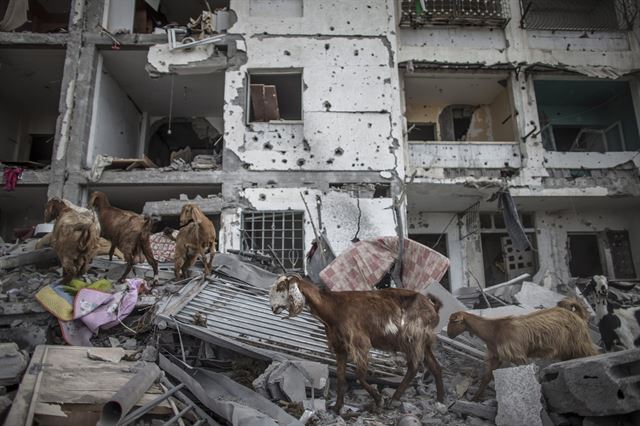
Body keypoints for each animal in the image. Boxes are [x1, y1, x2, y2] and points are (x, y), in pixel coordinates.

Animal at [268, 272, 442, 412]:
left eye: (281, 287)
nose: (273, 308)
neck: (333, 308)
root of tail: (433, 308)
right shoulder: (340, 347)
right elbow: (340, 377)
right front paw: (337, 407)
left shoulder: (360, 343)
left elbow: (359, 375)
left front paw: (378, 400)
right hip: (423, 342)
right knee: (434, 366)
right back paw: (441, 400)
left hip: (412, 337)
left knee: (414, 367)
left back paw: (393, 400)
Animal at [448, 302, 596, 400]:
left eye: (454, 322)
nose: (449, 335)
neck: (494, 331)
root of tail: (576, 314)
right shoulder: (496, 356)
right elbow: (486, 378)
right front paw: (475, 398)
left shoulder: (518, 356)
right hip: (567, 349)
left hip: (580, 343)